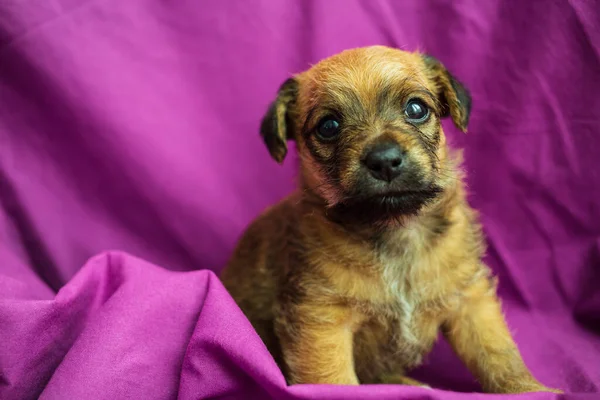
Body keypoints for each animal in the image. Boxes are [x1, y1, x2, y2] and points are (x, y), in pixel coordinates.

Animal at [223, 47, 560, 394]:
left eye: (416, 109)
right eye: (328, 126)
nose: (384, 160)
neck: (396, 231)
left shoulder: (469, 300)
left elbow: (498, 354)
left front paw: (532, 390)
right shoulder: (321, 319)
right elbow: (334, 380)